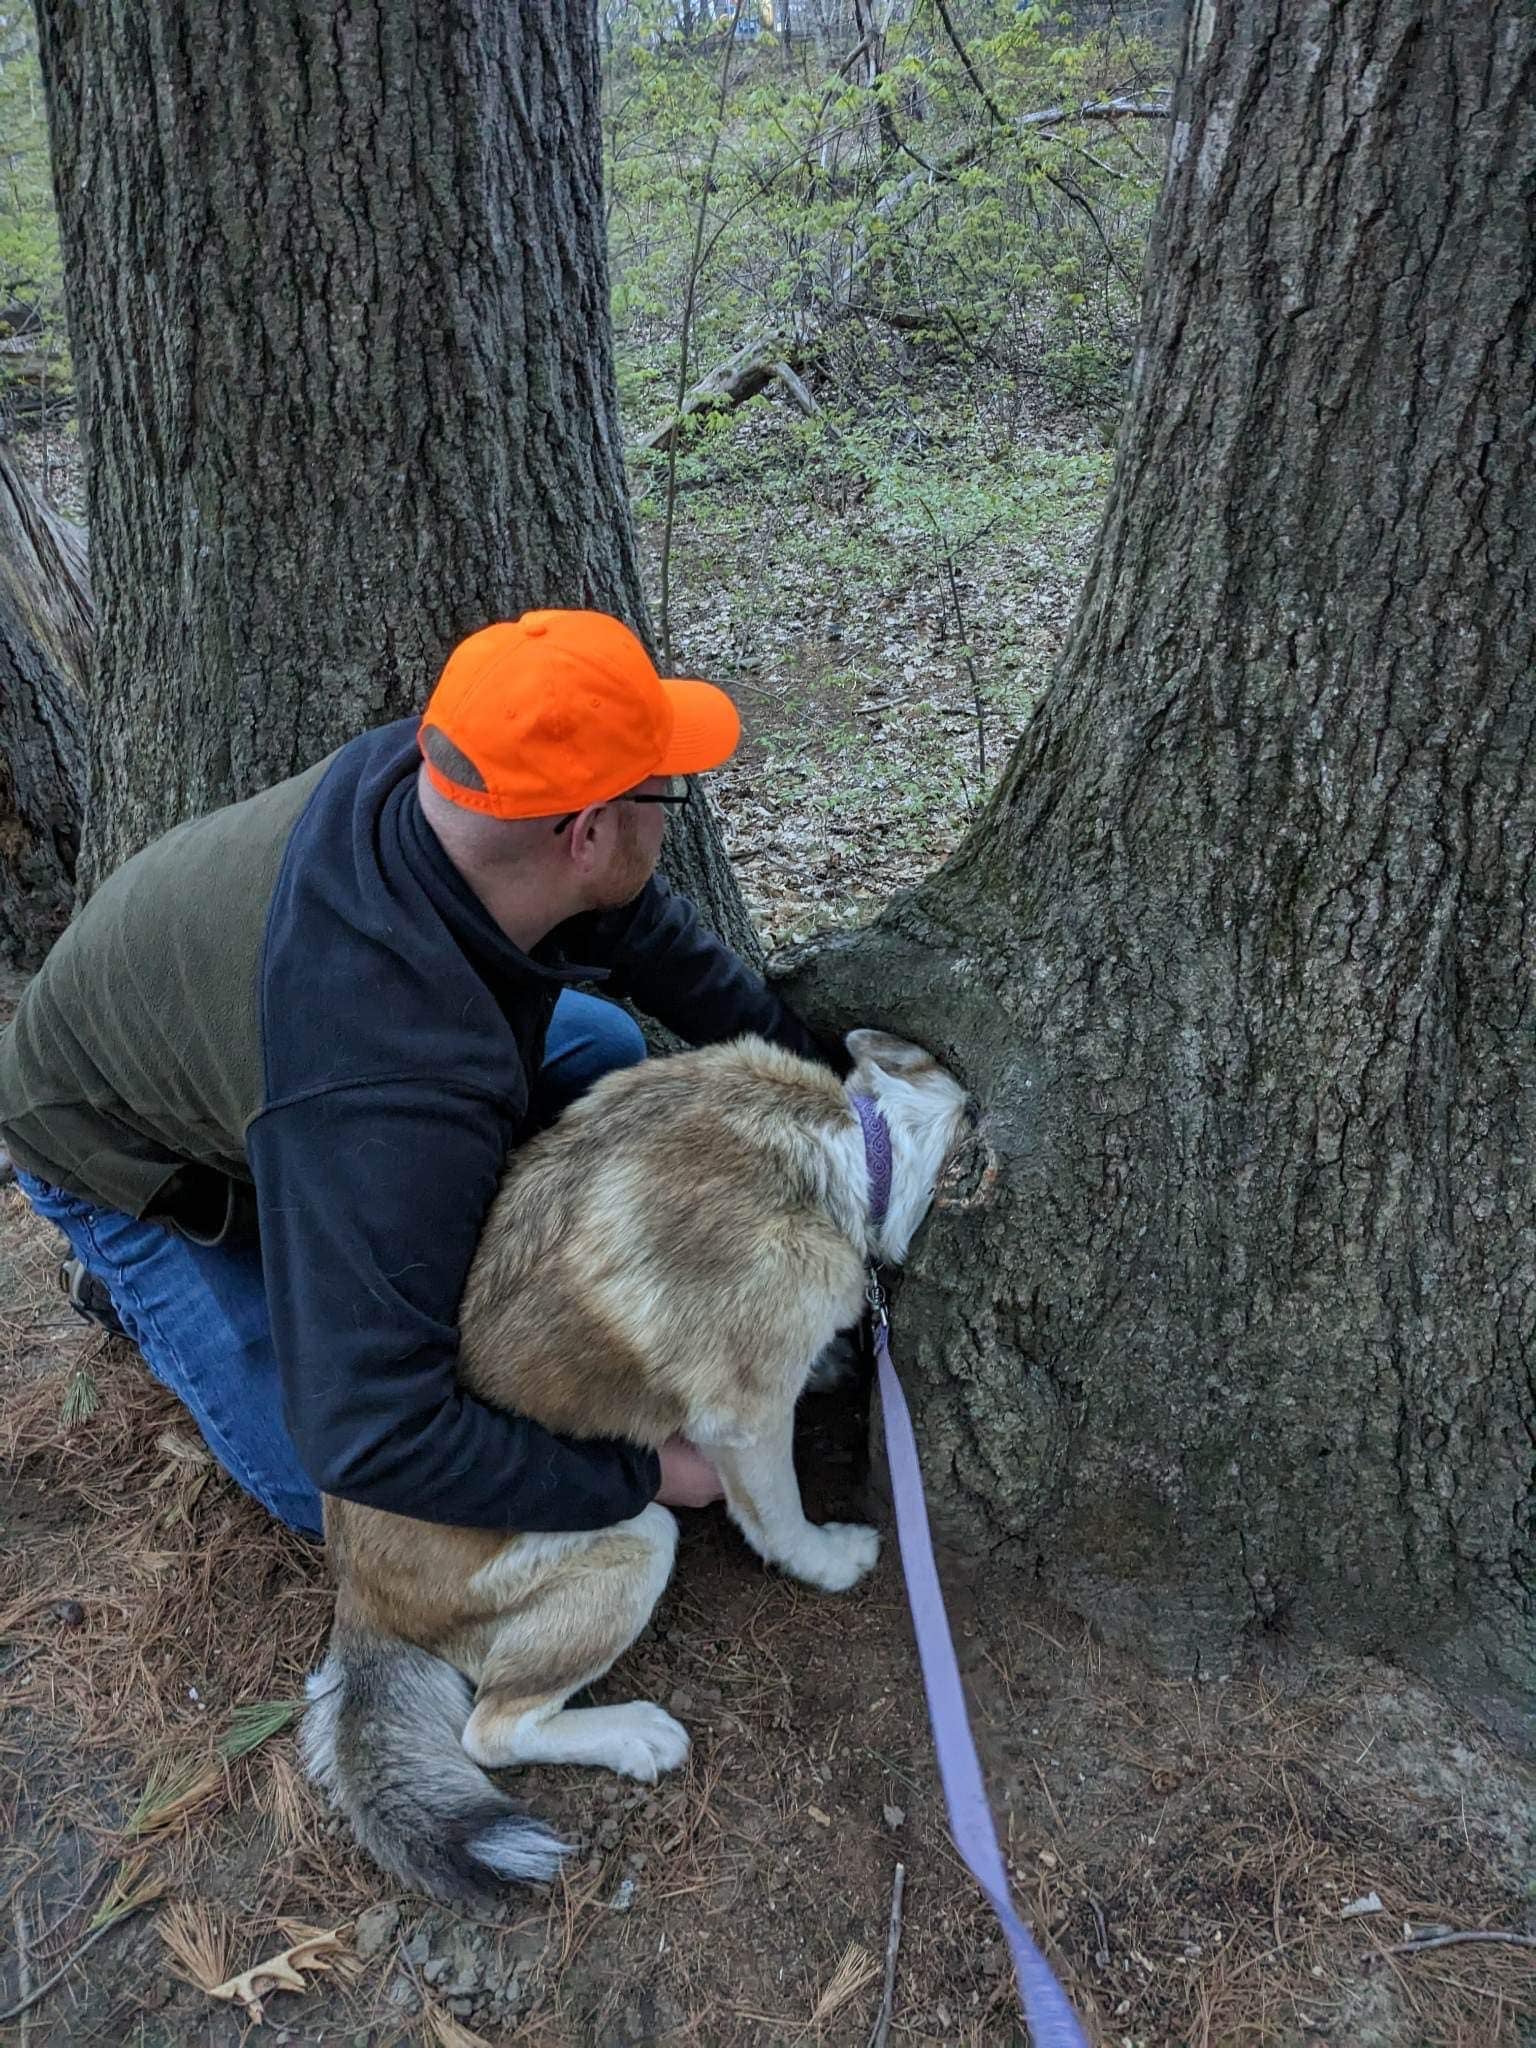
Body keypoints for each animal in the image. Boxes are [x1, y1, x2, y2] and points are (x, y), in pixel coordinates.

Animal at [305, 1032, 966, 1908]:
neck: (843, 1137)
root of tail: (357, 1598)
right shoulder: (746, 1419)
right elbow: (782, 1517)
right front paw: (827, 1560)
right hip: (635, 1539)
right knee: (492, 1731)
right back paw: (635, 1736)